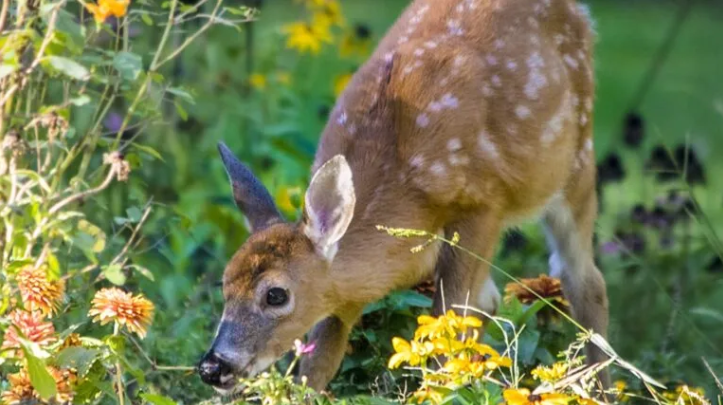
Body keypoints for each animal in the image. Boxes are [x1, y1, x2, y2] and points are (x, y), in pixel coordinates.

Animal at [198, 0, 609, 395]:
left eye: (276, 295)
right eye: (224, 283)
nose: (212, 367)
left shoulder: (482, 206)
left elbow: (448, 321)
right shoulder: (344, 293)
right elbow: (319, 363)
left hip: (577, 161)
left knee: (585, 281)